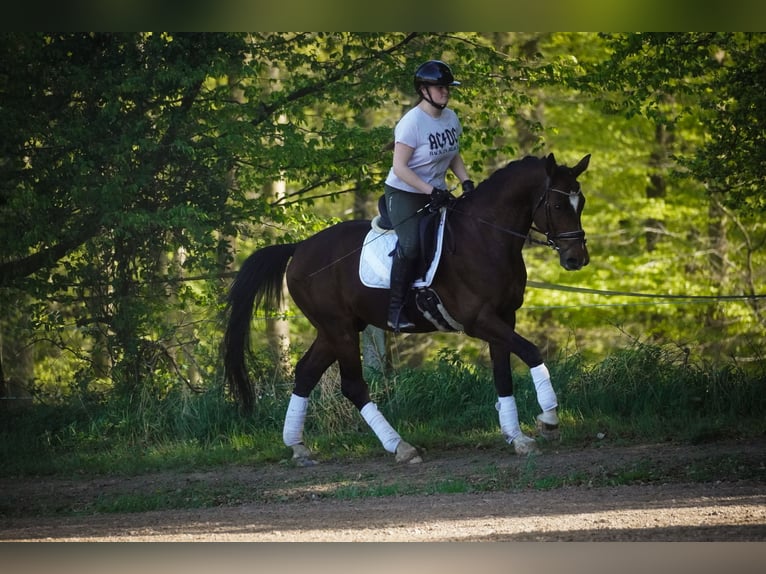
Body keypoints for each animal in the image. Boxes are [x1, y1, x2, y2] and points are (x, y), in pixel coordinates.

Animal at [224, 153, 591, 465]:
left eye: (581, 203)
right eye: (558, 204)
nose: (577, 259)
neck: (485, 236)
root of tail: (299, 248)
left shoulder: (503, 317)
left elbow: (503, 375)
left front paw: (518, 438)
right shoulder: (480, 320)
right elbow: (531, 352)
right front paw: (549, 420)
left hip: (336, 329)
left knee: (306, 373)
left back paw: (298, 446)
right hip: (339, 329)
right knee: (352, 385)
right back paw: (401, 446)